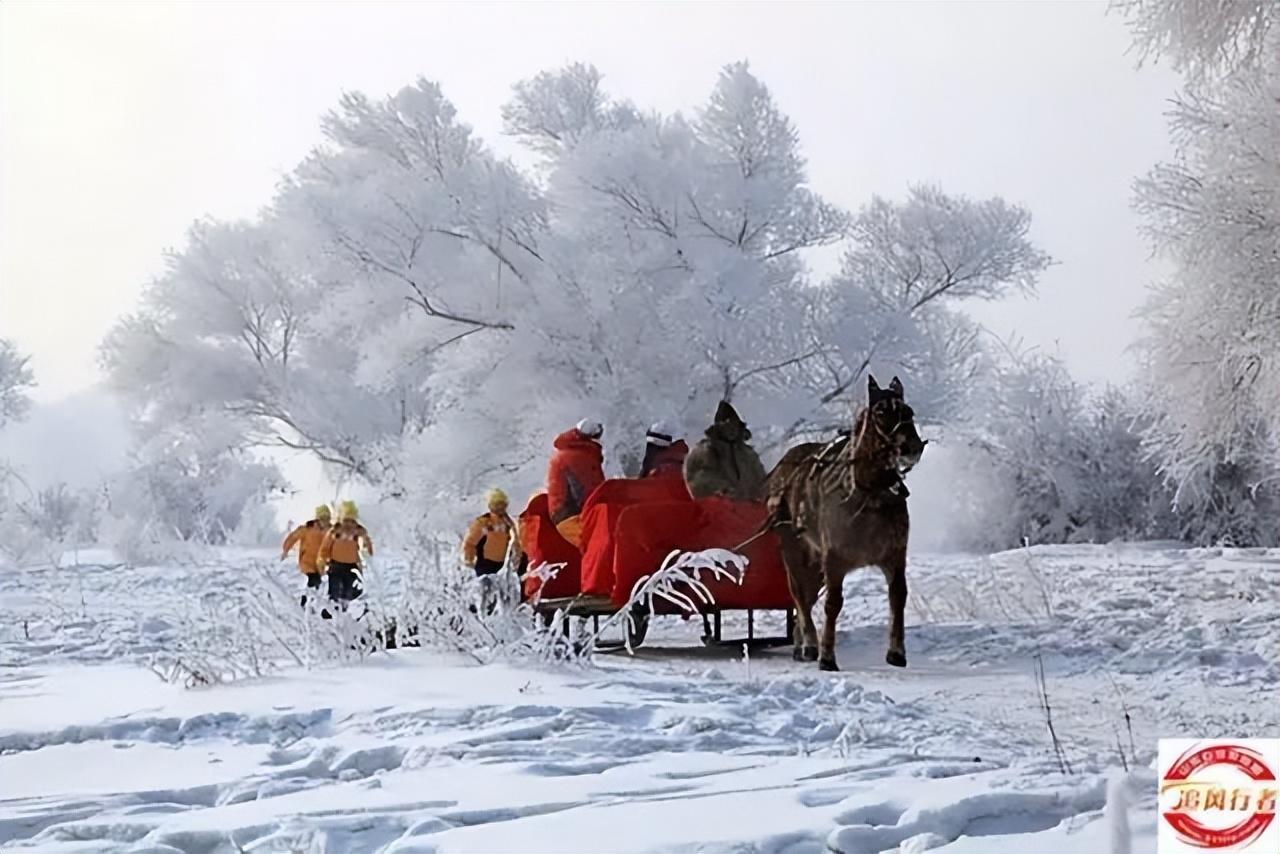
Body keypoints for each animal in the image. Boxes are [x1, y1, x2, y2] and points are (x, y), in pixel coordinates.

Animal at [762, 376, 926, 670]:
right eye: (880, 412)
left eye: (909, 412)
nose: (912, 447)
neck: (869, 495)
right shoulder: (835, 558)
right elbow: (832, 604)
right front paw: (827, 656)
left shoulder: (894, 554)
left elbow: (898, 597)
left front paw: (896, 652)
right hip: (794, 550)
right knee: (799, 596)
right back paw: (809, 644)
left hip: (814, 562)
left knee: (807, 596)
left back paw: (799, 642)